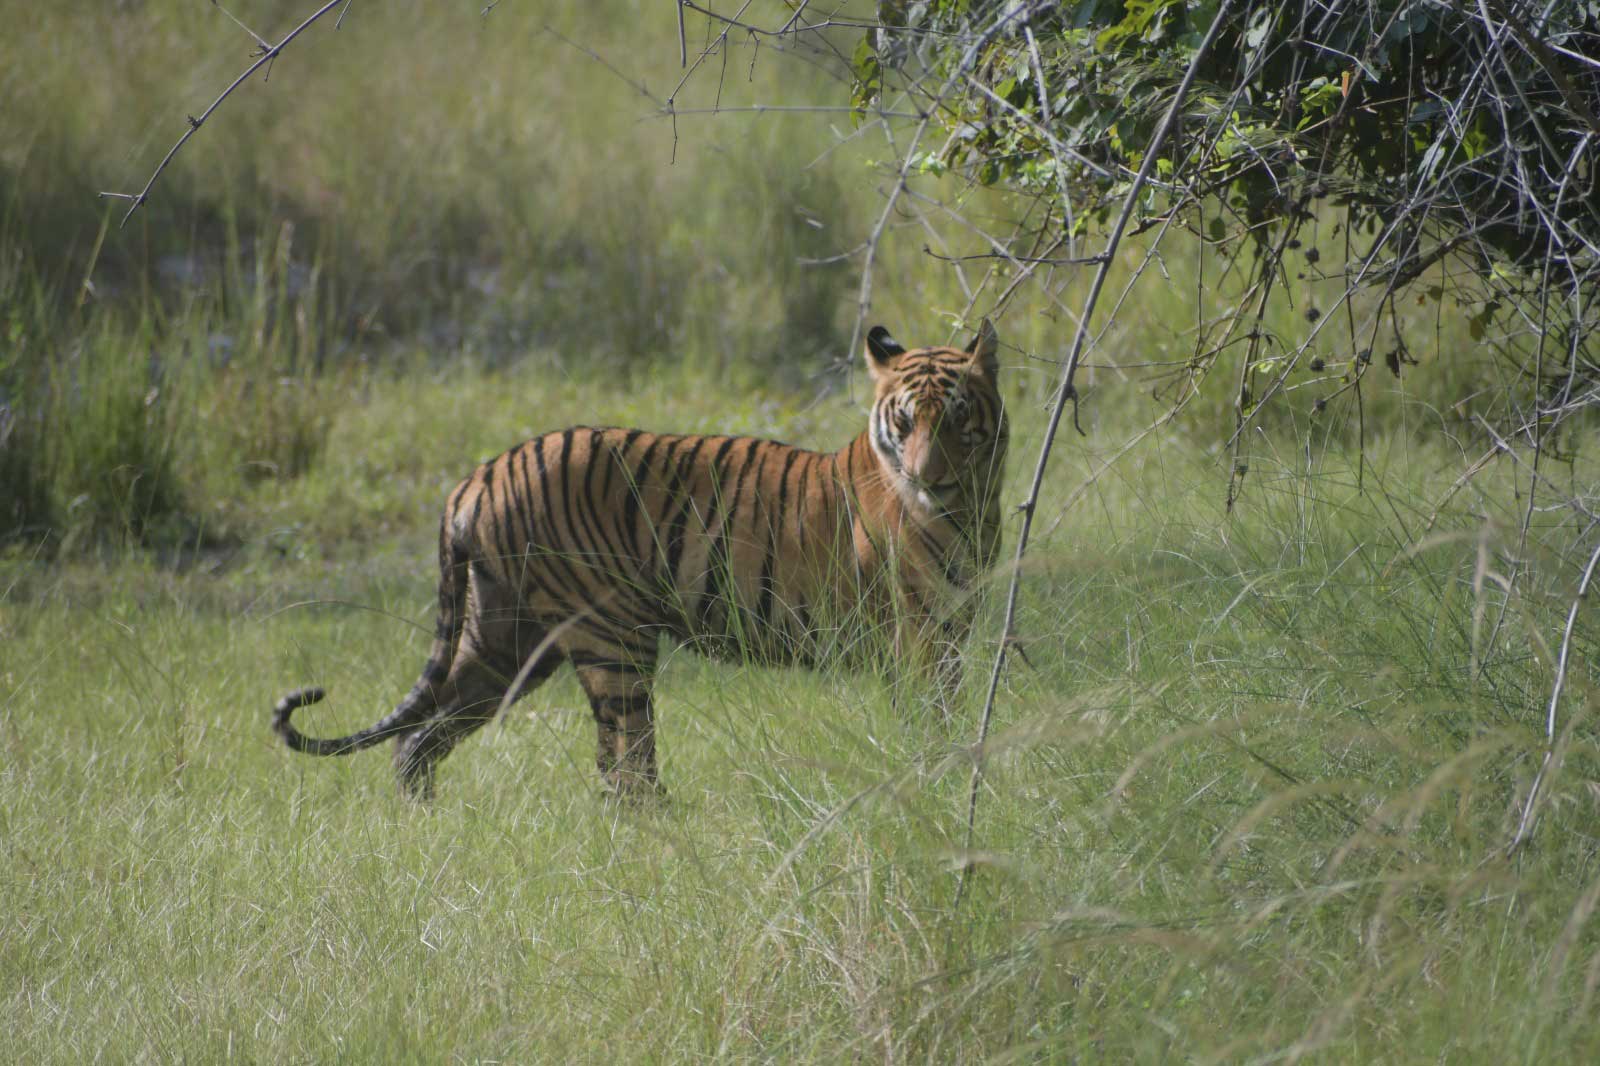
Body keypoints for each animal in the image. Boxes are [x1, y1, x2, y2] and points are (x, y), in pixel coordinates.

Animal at [272, 321, 1008, 800]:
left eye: (957, 419)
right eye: (905, 423)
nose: (931, 479)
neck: (975, 507)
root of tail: (477, 475)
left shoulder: (949, 632)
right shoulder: (920, 638)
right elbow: (936, 723)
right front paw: (943, 783)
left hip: (506, 639)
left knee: (420, 736)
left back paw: (423, 819)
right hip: (611, 638)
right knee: (623, 765)